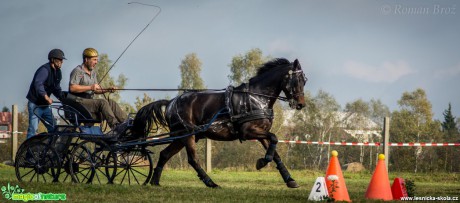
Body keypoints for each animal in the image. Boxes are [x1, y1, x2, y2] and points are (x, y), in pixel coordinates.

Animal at [131, 58, 308, 188]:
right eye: (296, 80)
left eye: (304, 80)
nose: (301, 104)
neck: (257, 98)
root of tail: (170, 103)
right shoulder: (248, 131)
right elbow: (274, 138)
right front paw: (261, 162)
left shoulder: (261, 132)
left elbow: (275, 150)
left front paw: (290, 180)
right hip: (187, 135)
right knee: (192, 160)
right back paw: (211, 182)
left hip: (181, 137)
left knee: (164, 154)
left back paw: (155, 182)